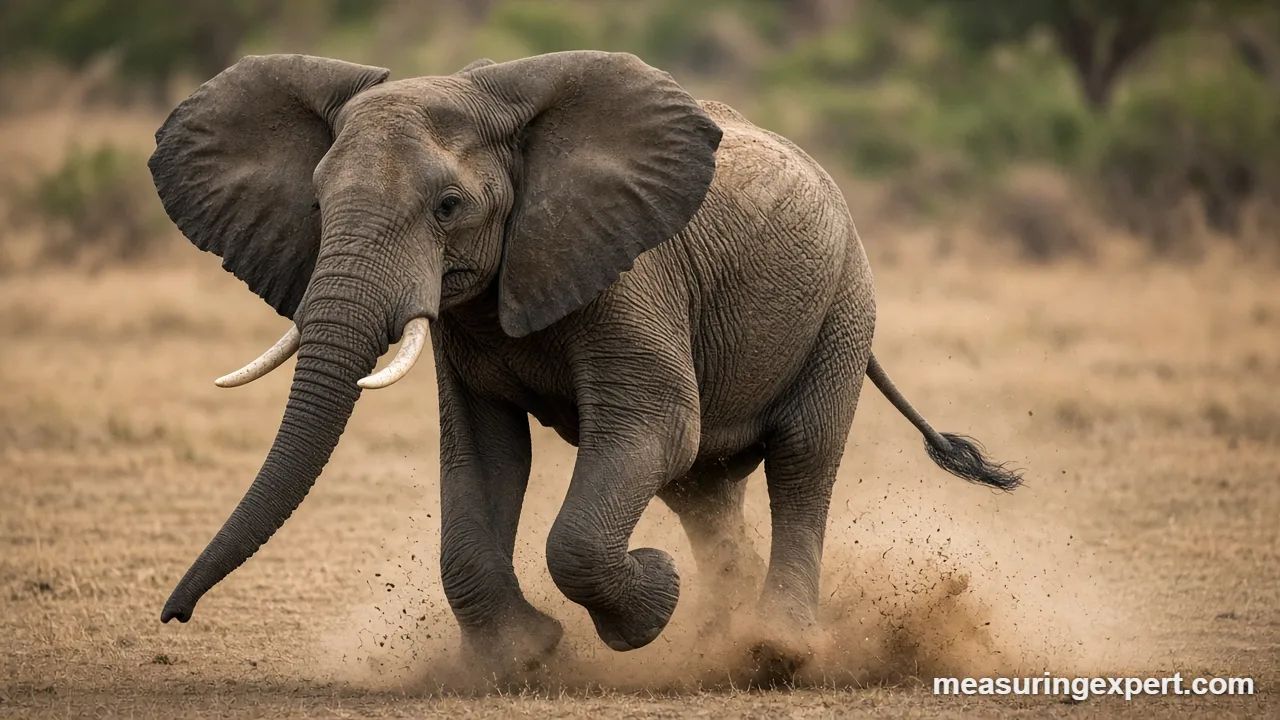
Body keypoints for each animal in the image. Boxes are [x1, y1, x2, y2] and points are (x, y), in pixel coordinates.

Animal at [147, 50, 1021, 675]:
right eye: (317, 206)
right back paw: (716, 640)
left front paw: (651, 595)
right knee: (702, 490)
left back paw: (774, 652)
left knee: (802, 458)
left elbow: (654, 429)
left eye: (449, 208)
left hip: (843, 304)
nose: (173, 615)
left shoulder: (633, 277)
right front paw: (525, 658)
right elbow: (485, 455)